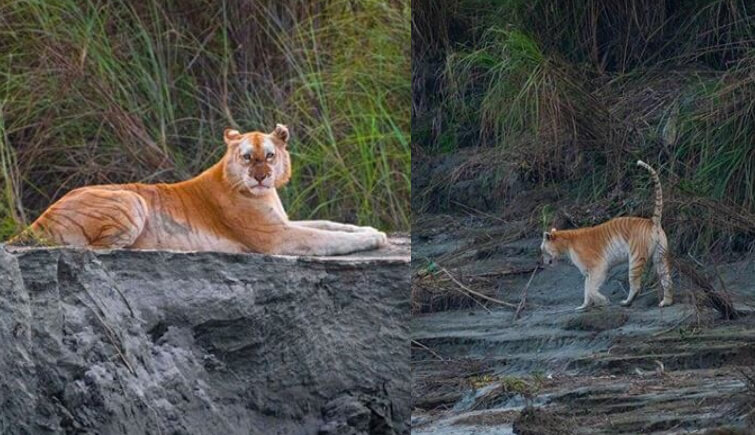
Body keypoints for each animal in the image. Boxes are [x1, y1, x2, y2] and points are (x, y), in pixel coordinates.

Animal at [12, 124, 390, 258]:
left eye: (269, 155)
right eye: (247, 156)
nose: (261, 177)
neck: (263, 194)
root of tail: (39, 219)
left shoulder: (284, 222)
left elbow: (330, 224)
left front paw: (373, 230)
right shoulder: (276, 237)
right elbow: (329, 238)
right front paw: (371, 238)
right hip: (132, 200)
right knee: (96, 249)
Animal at [540, 160, 676, 310]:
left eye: (542, 250)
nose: (543, 263)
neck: (566, 243)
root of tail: (652, 221)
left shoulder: (598, 266)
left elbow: (591, 289)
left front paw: (604, 301)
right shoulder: (588, 272)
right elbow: (586, 289)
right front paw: (583, 306)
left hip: (635, 259)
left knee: (635, 285)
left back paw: (627, 302)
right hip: (660, 256)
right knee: (667, 279)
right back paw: (666, 302)